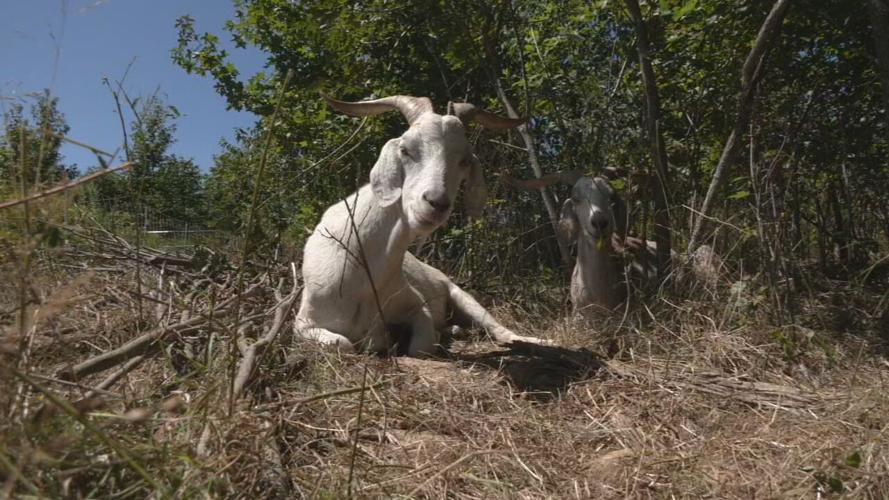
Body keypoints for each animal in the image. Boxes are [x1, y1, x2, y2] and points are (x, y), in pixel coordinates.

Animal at [295, 94, 548, 355]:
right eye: (405, 150)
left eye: (464, 160)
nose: (436, 203)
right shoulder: (304, 323)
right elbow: (344, 343)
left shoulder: (417, 304)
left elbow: (419, 346)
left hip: (462, 296)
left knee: (498, 329)